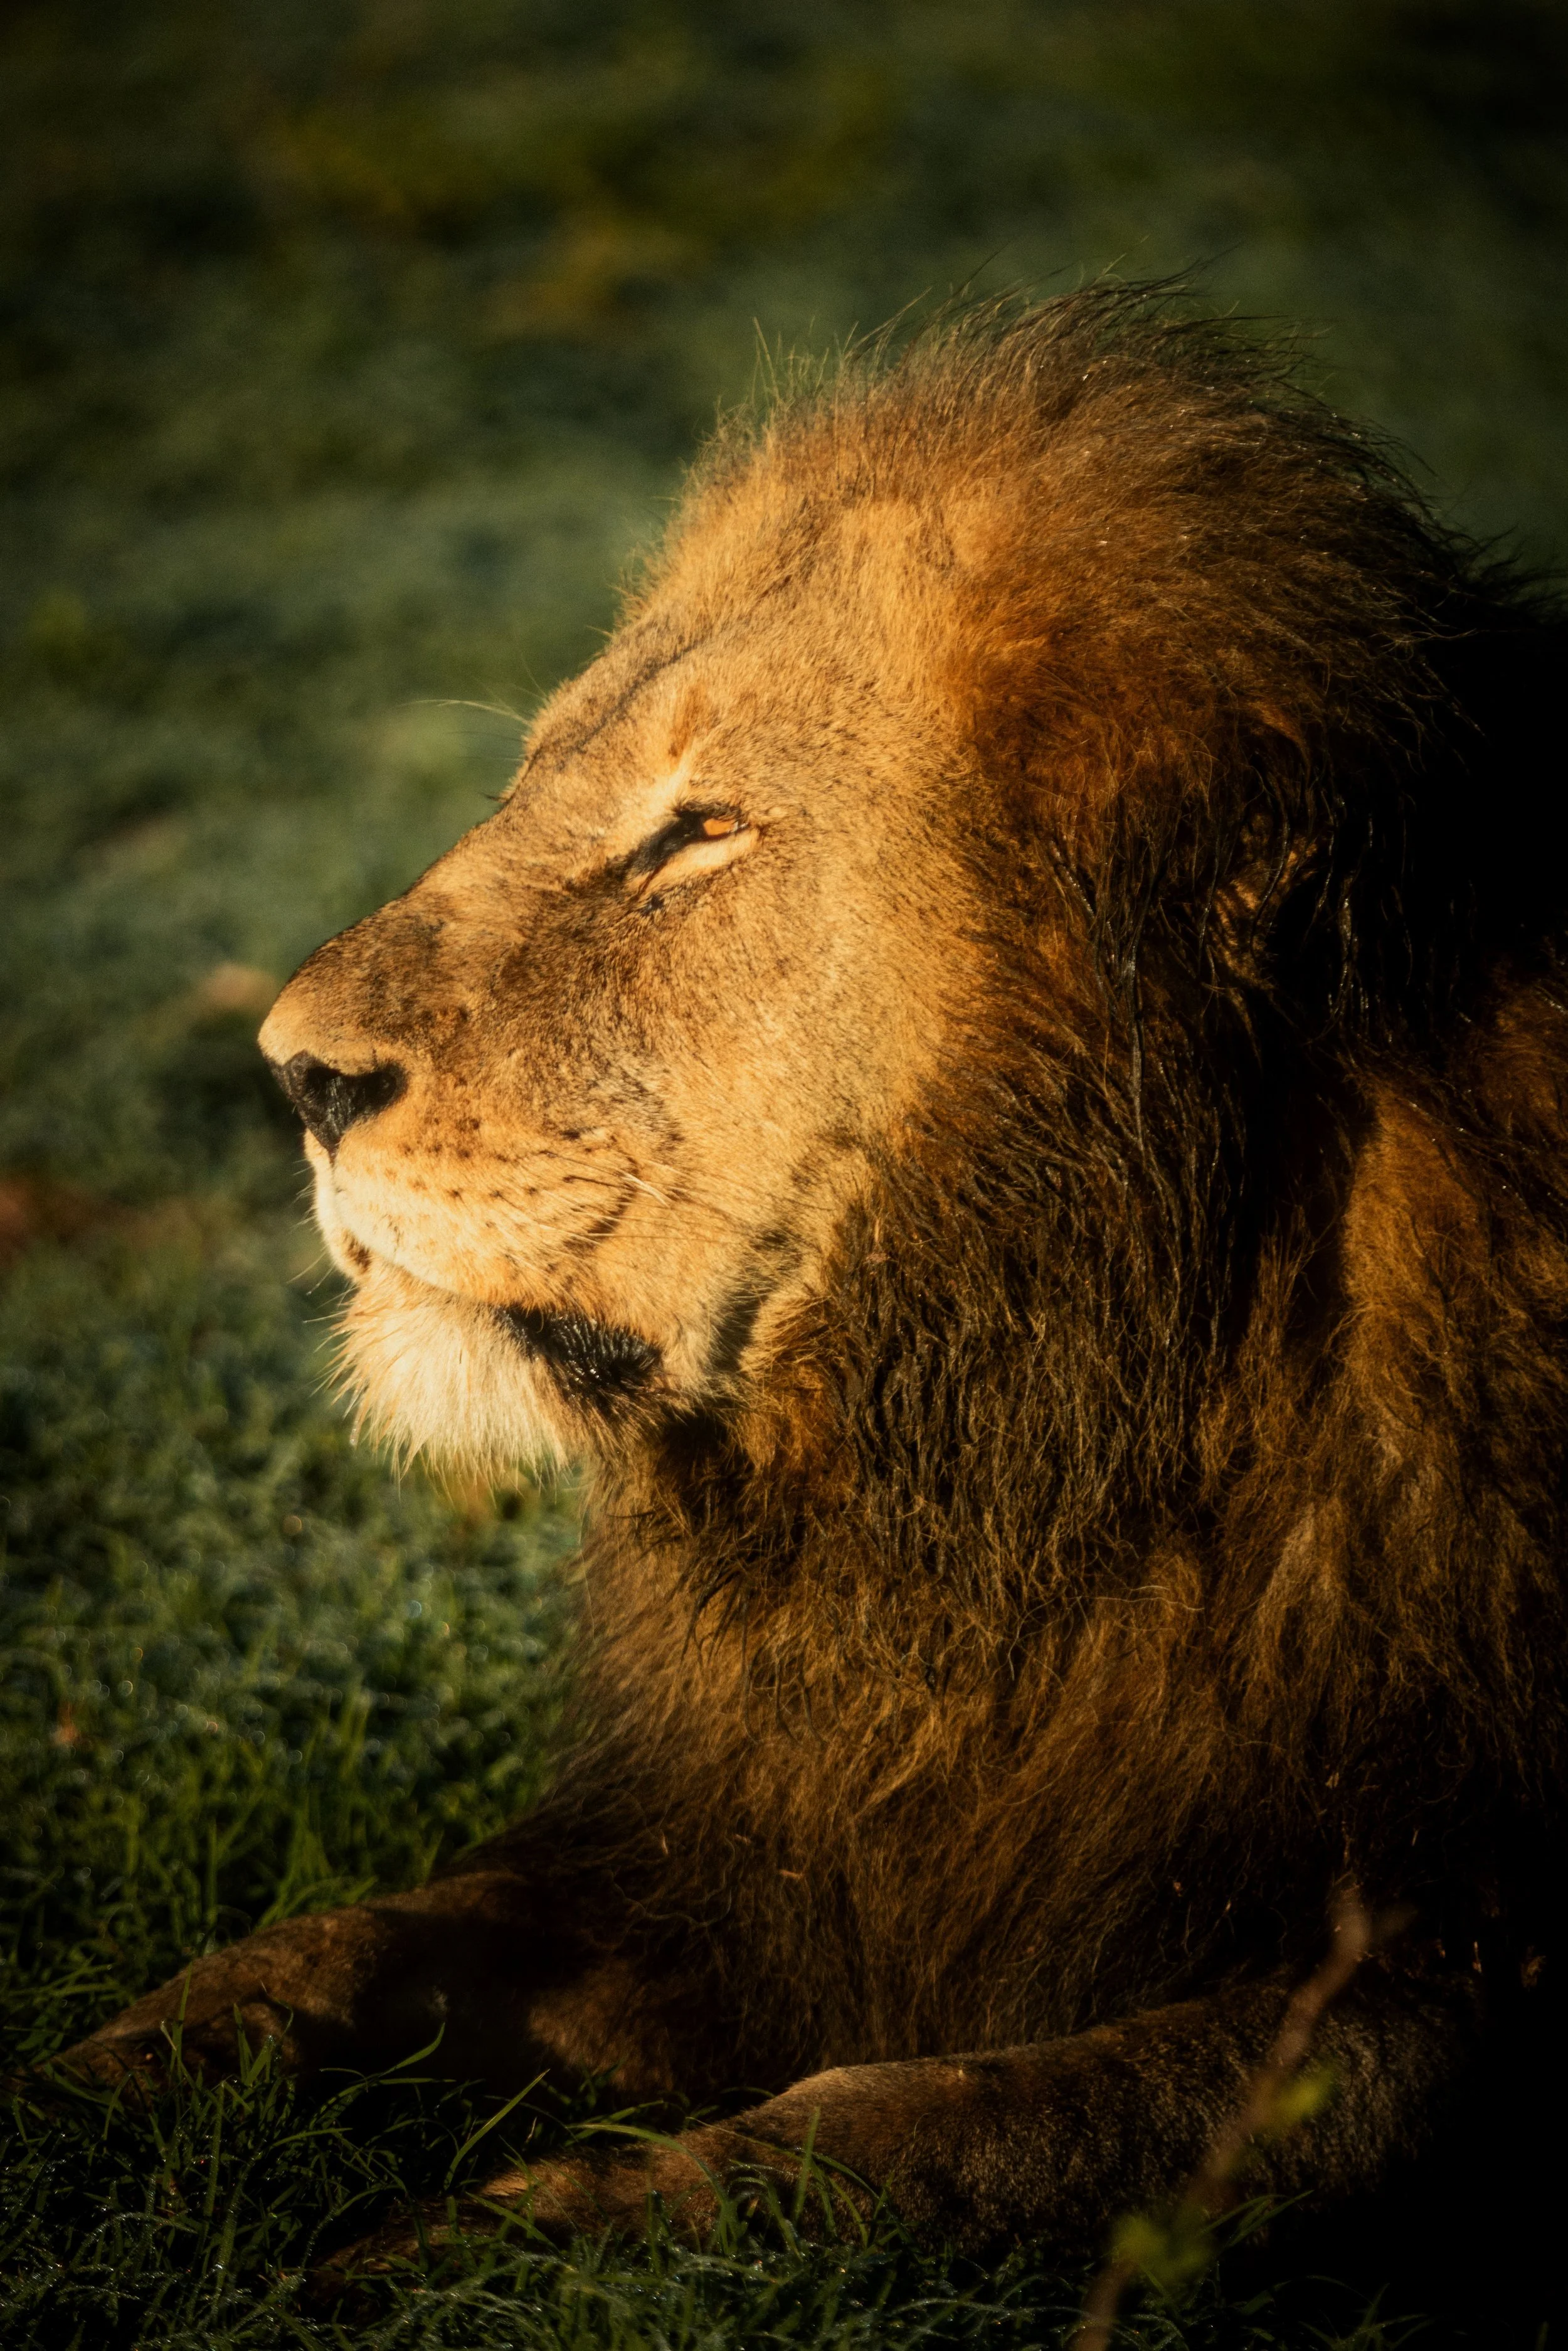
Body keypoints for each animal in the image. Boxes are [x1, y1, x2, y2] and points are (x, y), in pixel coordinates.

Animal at [55, 288, 1568, 2297]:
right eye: (536, 777)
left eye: (701, 834)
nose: (295, 1074)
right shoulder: (762, 1843)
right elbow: (341, 1943)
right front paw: (74, 2100)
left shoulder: (1456, 1963)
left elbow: (952, 2124)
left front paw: (472, 2260)